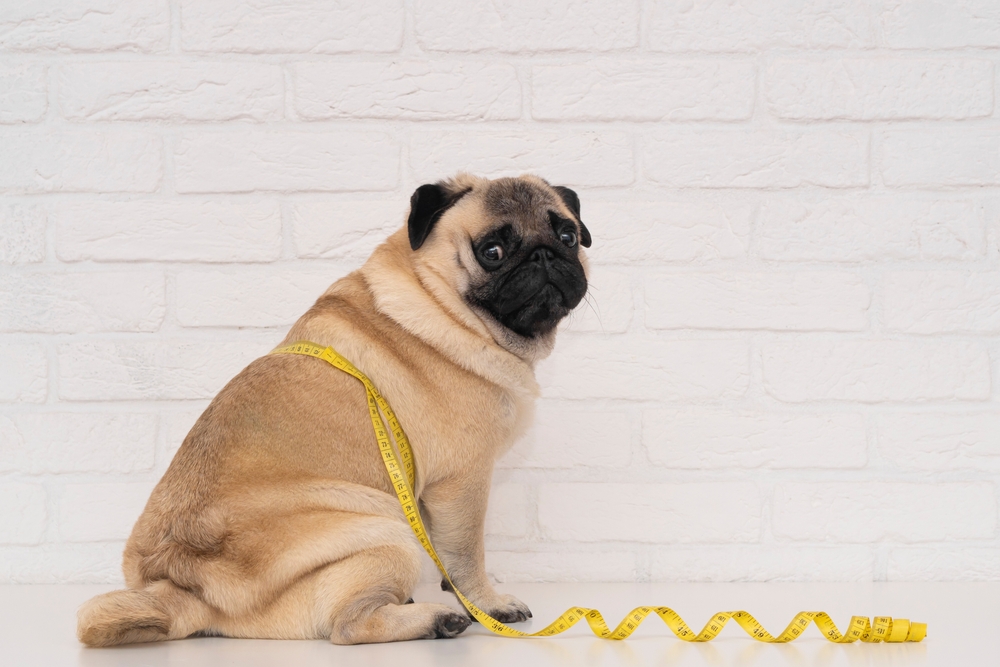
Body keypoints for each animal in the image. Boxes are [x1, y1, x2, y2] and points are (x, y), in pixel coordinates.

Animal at [80, 172, 592, 648]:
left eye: (568, 236)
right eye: (493, 251)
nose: (545, 255)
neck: (439, 299)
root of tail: (182, 590)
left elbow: (450, 558)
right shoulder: (463, 480)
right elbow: (467, 556)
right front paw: (488, 604)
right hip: (389, 530)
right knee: (348, 627)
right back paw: (436, 620)